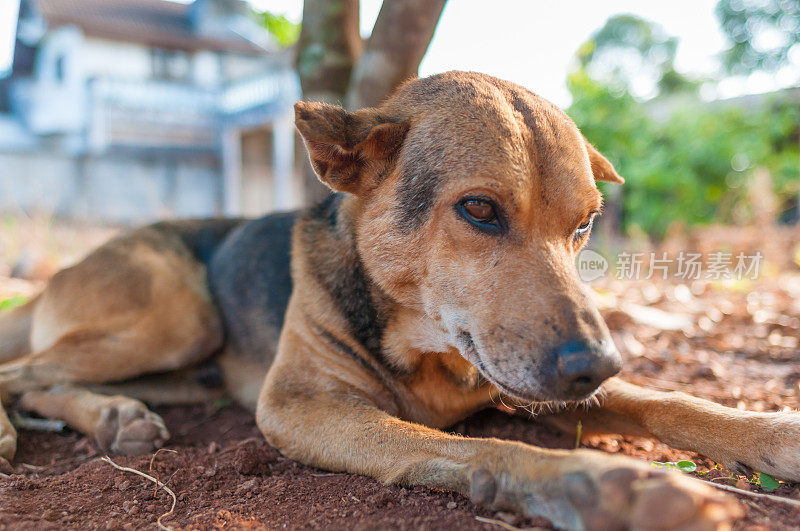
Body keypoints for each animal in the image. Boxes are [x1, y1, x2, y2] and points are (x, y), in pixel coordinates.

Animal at [1, 72, 800, 528]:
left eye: (584, 225)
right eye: (478, 210)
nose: (595, 366)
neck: (425, 348)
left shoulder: (527, 379)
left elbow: (671, 401)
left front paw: (774, 431)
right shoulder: (300, 406)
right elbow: (465, 445)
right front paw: (600, 487)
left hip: (183, 364)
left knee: (45, 378)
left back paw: (115, 416)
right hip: (178, 316)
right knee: (21, 374)